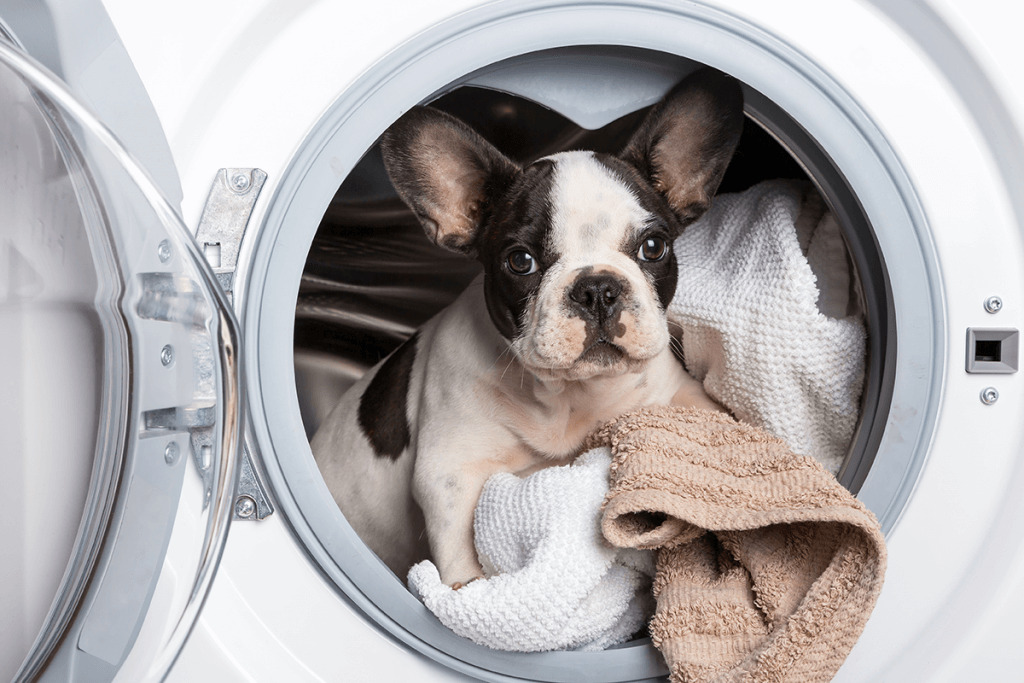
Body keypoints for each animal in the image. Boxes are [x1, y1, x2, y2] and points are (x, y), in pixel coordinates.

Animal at [311, 68, 745, 589]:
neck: (569, 397)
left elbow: (710, 420)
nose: (597, 288)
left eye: (654, 246)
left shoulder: (674, 394)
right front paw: (470, 595)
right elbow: (463, 561)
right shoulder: (451, 473)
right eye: (521, 261)